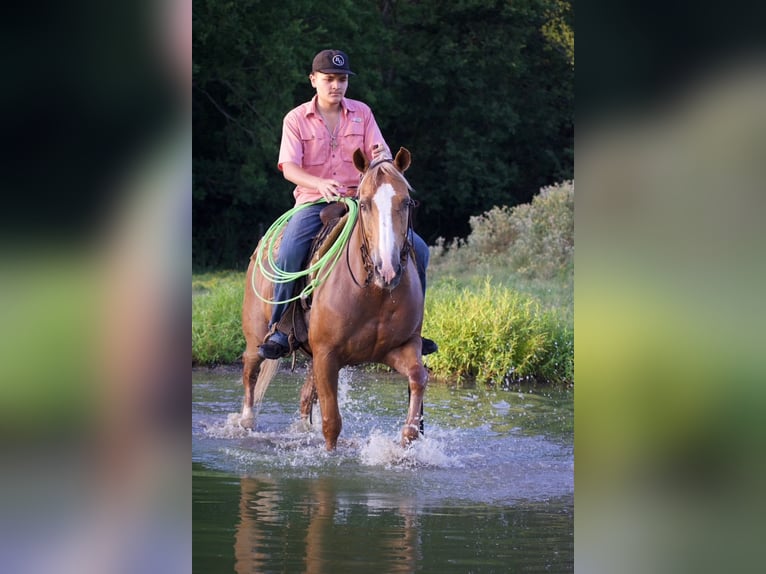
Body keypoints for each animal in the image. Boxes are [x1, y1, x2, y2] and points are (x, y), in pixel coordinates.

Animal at [240, 147, 428, 450]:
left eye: (406, 202)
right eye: (364, 204)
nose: (387, 270)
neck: (373, 292)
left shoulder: (402, 347)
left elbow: (418, 377)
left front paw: (407, 439)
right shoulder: (327, 355)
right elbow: (331, 423)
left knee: (305, 397)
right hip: (257, 336)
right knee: (250, 372)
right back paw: (245, 422)